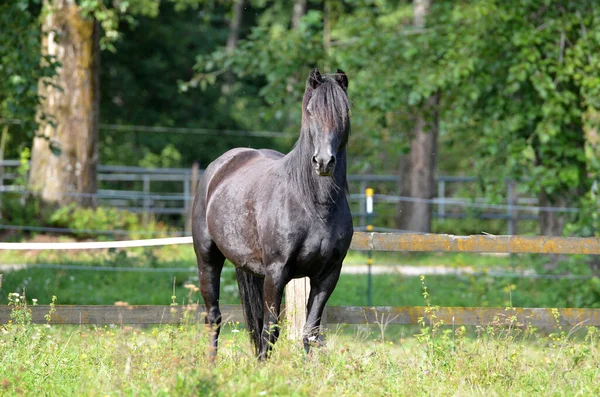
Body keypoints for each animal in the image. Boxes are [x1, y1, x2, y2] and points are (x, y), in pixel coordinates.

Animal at [191, 68, 352, 358]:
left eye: (344, 111)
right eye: (310, 110)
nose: (323, 162)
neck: (314, 205)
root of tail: (219, 167)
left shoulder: (328, 275)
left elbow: (309, 332)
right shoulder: (276, 273)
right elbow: (271, 330)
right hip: (207, 258)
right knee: (214, 317)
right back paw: (210, 363)